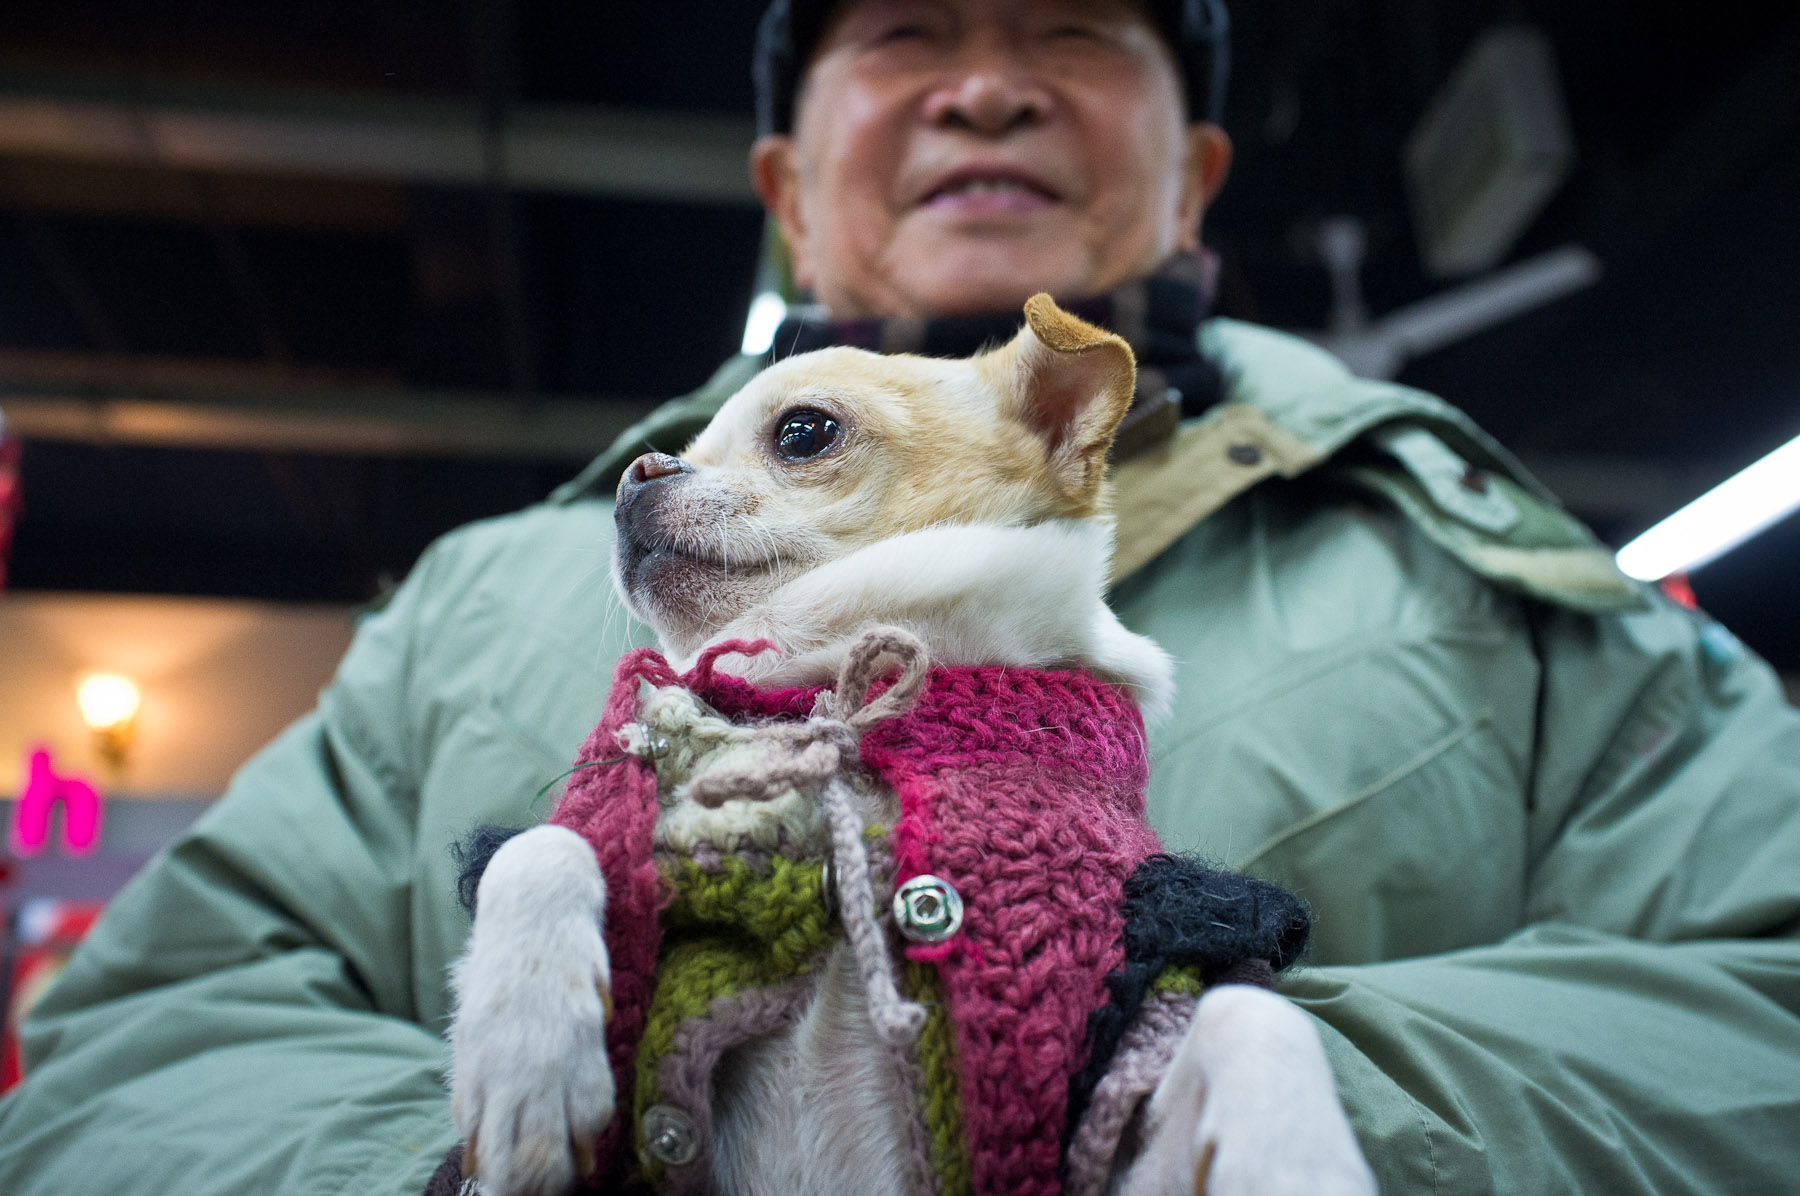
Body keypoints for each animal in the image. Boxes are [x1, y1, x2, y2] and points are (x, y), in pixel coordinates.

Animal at [446, 297, 1360, 1196]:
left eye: (804, 432)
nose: (638, 471)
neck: (840, 687)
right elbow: (553, 840)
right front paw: (526, 1049)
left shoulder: (1119, 1054)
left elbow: (1249, 1009)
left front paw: (1292, 1153)